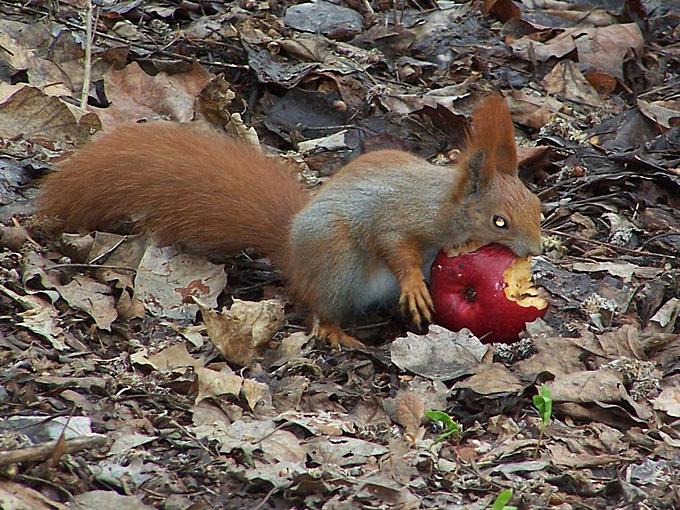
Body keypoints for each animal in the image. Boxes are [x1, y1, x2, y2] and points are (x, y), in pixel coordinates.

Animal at [38, 94, 540, 346]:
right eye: (499, 221)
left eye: (536, 205)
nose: (535, 250)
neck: (443, 205)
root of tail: (292, 254)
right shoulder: (397, 218)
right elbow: (395, 248)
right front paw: (416, 286)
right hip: (337, 262)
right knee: (319, 307)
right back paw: (337, 332)